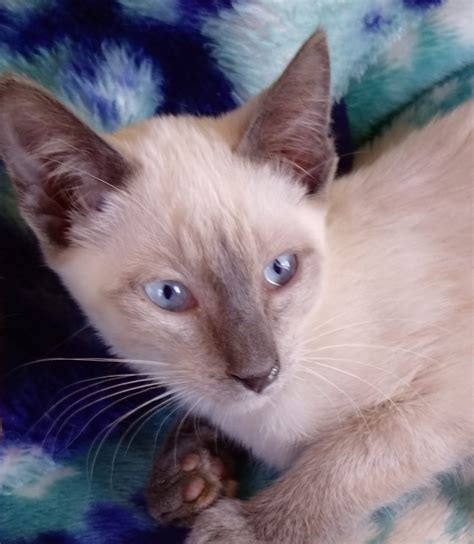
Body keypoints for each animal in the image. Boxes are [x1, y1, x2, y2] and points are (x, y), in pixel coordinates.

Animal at [0, 33, 474, 544]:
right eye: (169, 295)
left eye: (281, 270)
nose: (260, 375)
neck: (265, 423)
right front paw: (188, 473)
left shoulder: (442, 390)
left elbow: (344, 460)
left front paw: (246, 527)